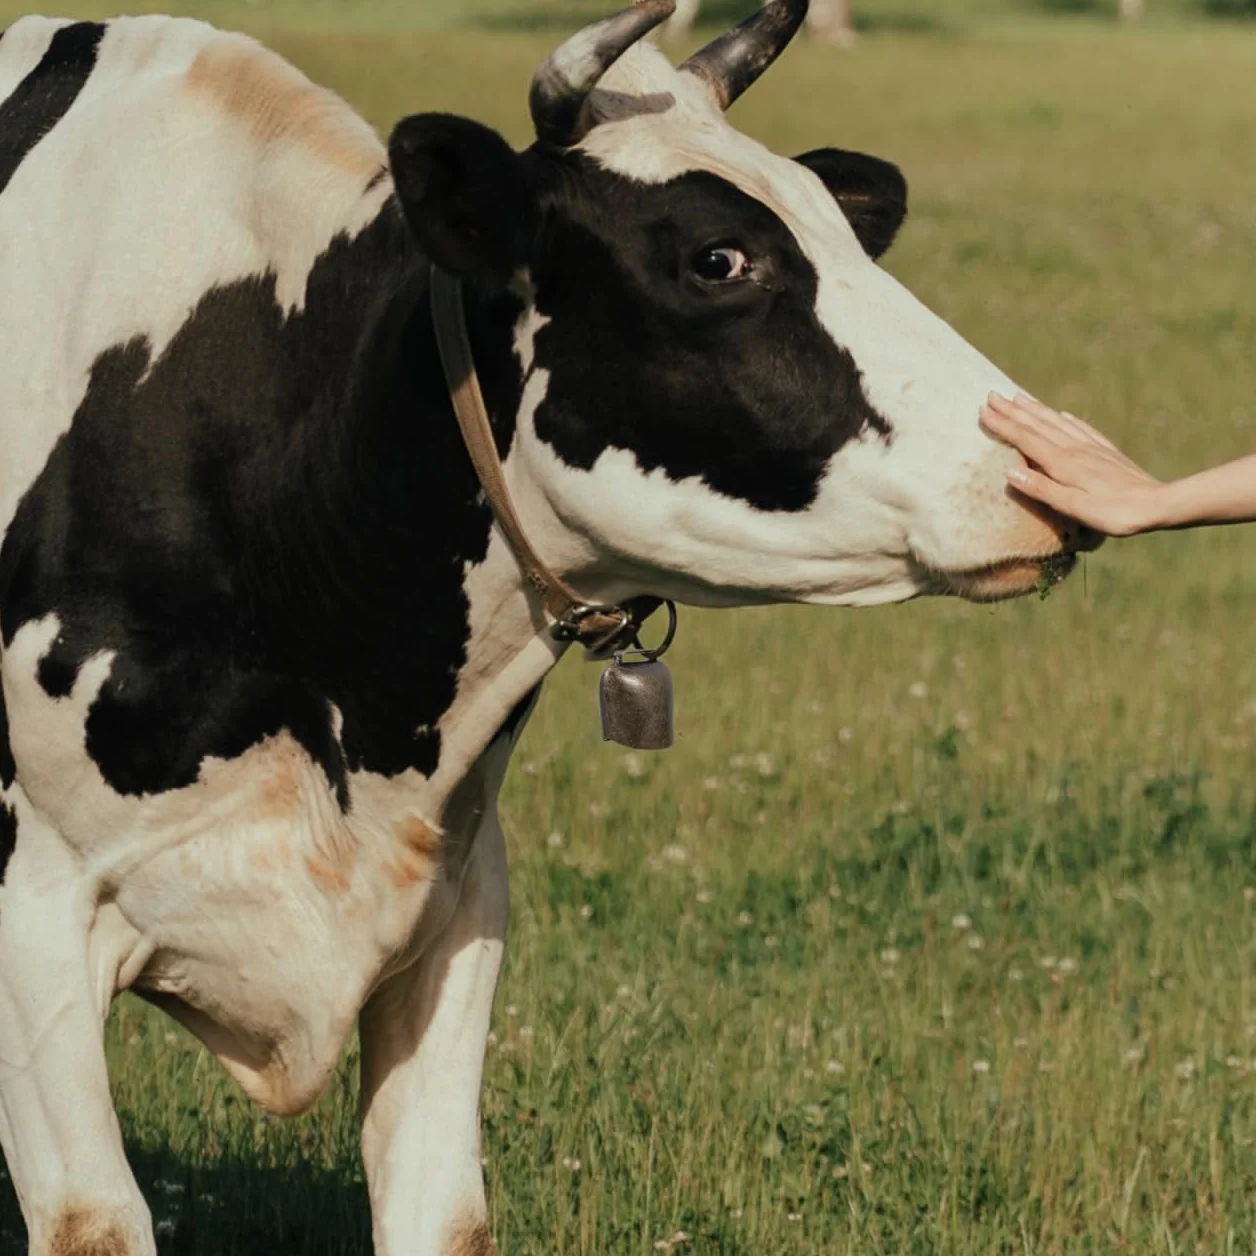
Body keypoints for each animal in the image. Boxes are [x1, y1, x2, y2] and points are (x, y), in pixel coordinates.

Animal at [0, 2, 1097, 1253]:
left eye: (846, 234)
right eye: (718, 258)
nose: (1047, 464)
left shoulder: (454, 901)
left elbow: (442, 1211)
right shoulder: (33, 910)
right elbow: (94, 1216)